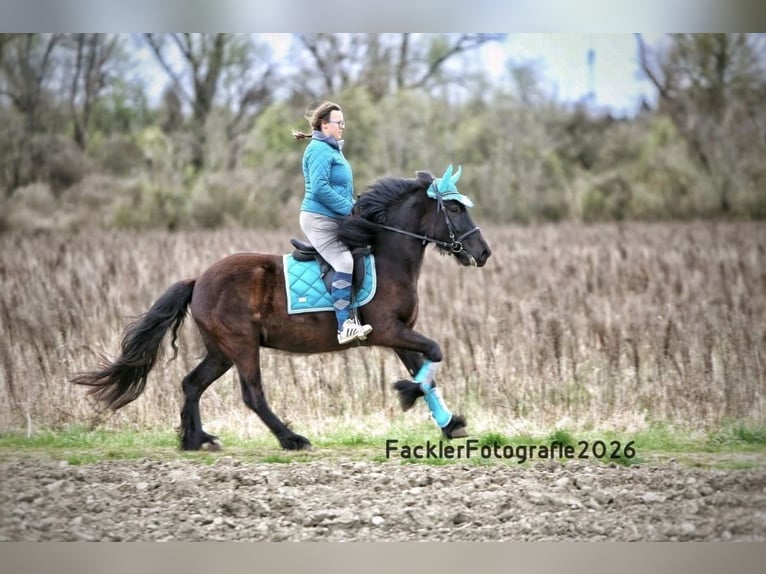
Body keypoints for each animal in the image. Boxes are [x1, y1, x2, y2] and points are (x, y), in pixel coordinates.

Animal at [72, 165, 492, 450]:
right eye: (454, 209)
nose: (484, 252)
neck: (387, 256)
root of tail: (199, 279)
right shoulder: (390, 331)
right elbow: (434, 352)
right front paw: (408, 394)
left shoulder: (402, 334)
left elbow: (427, 372)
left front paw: (450, 423)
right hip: (242, 345)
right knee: (252, 394)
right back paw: (291, 438)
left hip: (220, 351)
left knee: (191, 384)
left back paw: (197, 439)